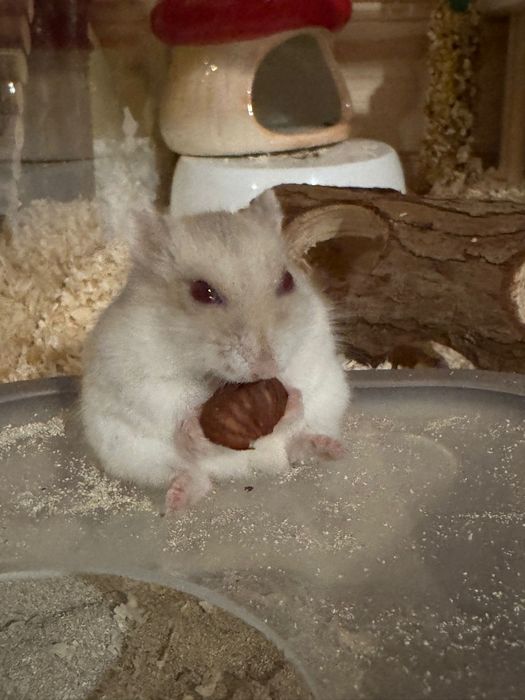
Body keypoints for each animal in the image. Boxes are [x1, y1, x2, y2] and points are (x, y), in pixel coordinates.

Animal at [81, 190, 350, 510]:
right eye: (202, 292)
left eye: (288, 280)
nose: (267, 368)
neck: (212, 375)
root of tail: (251, 466)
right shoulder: (142, 377)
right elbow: (176, 403)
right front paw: (195, 428)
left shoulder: (312, 348)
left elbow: (298, 386)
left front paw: (291, 399)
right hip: (128, 452)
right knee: (190, 474)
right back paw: (176, 501)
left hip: (329, 405)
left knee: (295, 445)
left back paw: (331, 449)